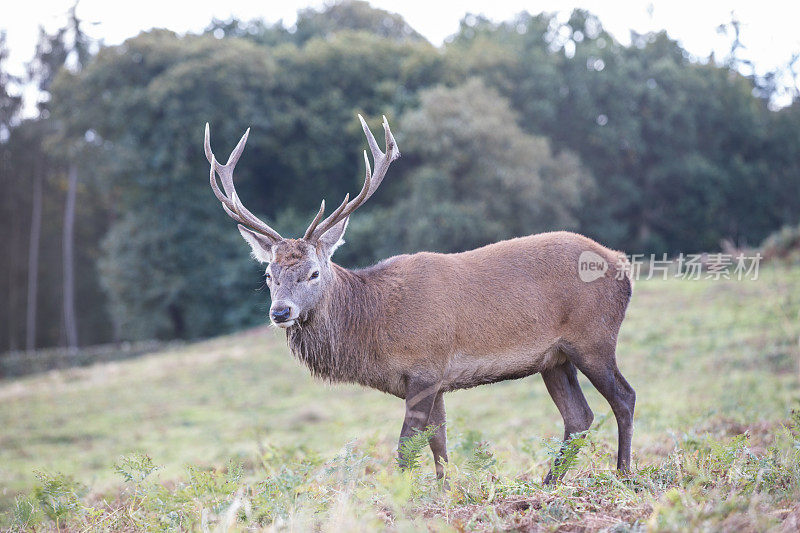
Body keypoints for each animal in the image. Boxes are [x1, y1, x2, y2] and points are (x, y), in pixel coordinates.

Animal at [206, 114, 636, 480]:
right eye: (268, 275)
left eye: (314, 272)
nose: (280, 312)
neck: (375, 328)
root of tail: (620, 262)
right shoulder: (435, 380)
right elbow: (439, 444)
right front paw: (448, 493)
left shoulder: (425, 366)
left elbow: (406, 448)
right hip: (554, 358)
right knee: (579, 417)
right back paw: (549, 483)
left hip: (594, 337)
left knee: (624, 397)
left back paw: (623, 475)